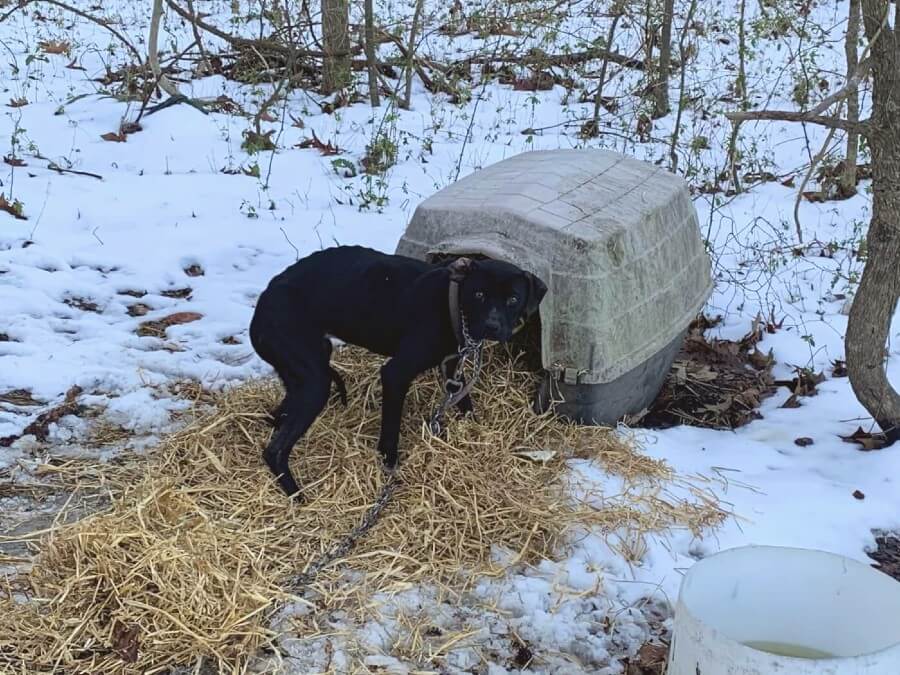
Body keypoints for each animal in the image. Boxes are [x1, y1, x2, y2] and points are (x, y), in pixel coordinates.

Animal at [248, 247, 548, 496]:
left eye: (513, 299)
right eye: (479, 294)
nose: (492, 327)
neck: (450, 301)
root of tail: (263, 300)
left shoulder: (453, 365)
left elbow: (464, 400)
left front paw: (474, 429)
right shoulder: (396, 374)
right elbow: (391, 429)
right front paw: (390, 465)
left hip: (308, 368)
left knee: (278, 415)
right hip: (314, 382)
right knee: (275, 450)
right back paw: (296, 495)